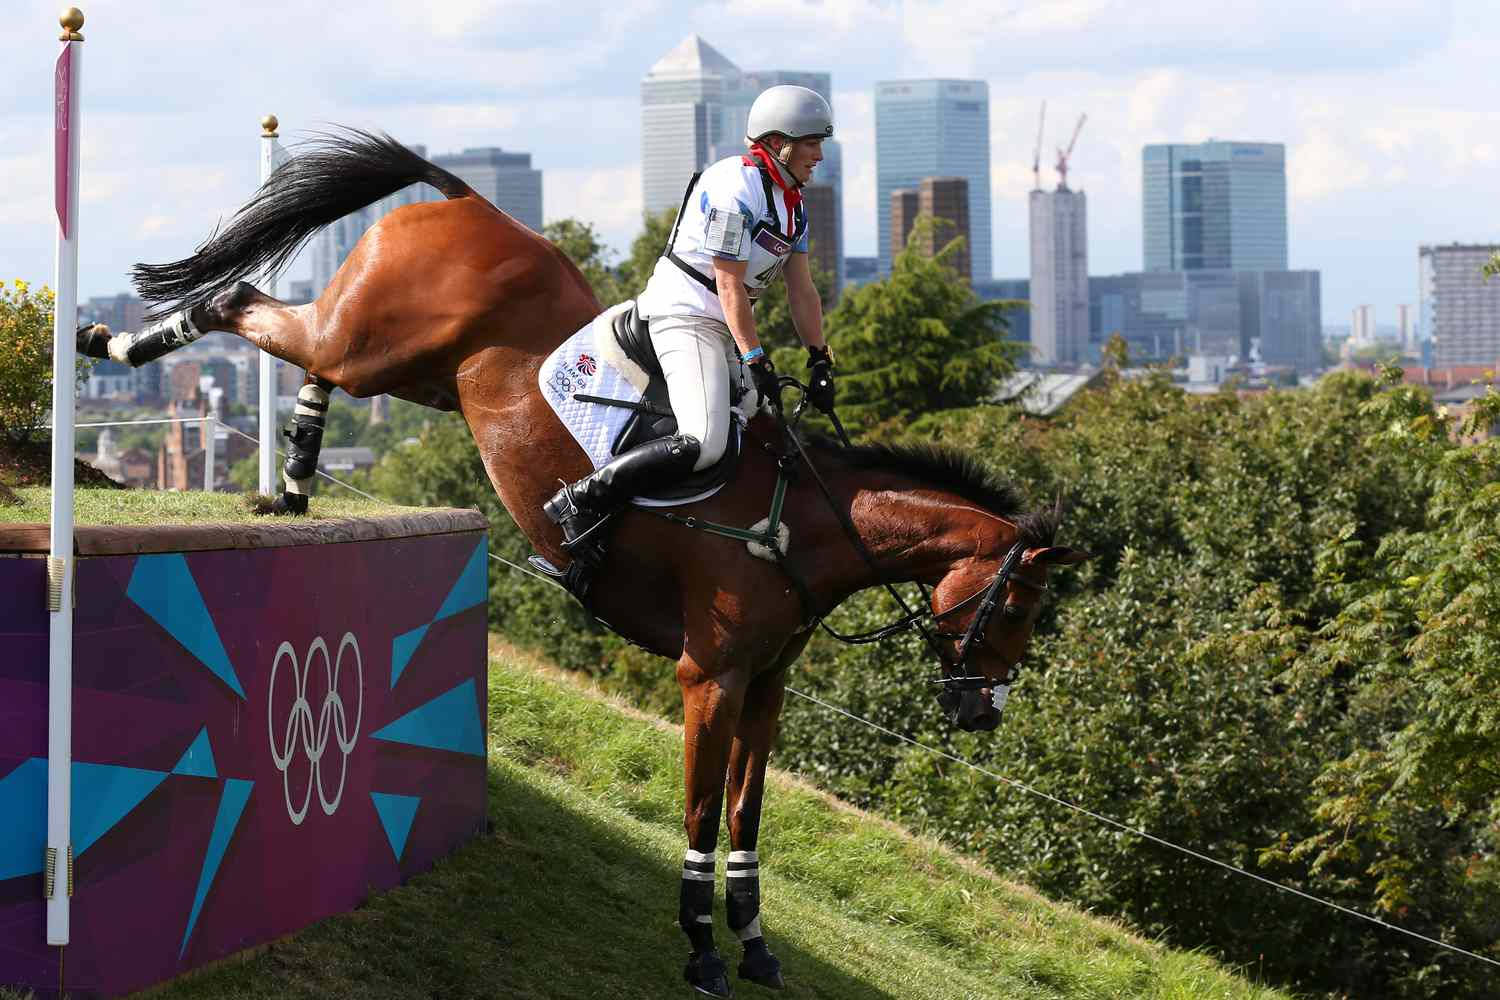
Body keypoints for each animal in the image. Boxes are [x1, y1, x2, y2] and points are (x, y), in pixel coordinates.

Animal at [82, 128, 1086, 995]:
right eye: (1019, 606)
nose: (984, 712)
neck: (800, 522)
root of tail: (464, 200)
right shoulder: (711, 678)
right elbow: (699, 813)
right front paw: (701, 950)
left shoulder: (766, 686)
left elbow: (747, 814)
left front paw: (755, 943)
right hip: (374, 341)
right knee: (243, 310)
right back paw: (114, 343)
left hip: (416, 375)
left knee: (305, 358)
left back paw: (291, 481)